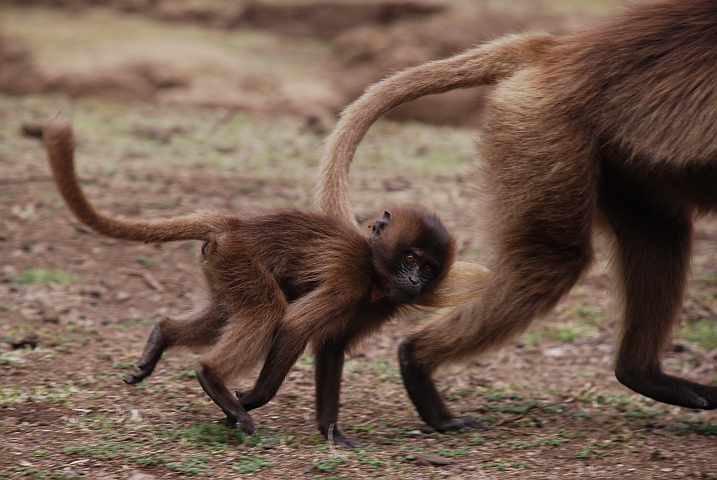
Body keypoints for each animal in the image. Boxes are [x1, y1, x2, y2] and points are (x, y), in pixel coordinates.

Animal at [43, 113, 457, 447]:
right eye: (410, 258)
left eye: (428, 268)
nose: (413, 280)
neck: (373, 271)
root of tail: (235, 226)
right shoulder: (348, 278)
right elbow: (295, 325)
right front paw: (254, 397)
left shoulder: (382, 301)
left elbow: (332, 347)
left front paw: (331, 431)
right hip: (238, 260)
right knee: (268, 311)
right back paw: (211, 376)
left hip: (222, 266)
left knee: (224, 314)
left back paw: (163, 335)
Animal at [315, 0, 717, 433]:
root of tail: (557, 50)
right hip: (545, 129)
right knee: (554, 260)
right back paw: (417, 362)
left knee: (657, 229)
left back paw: (643, 375)